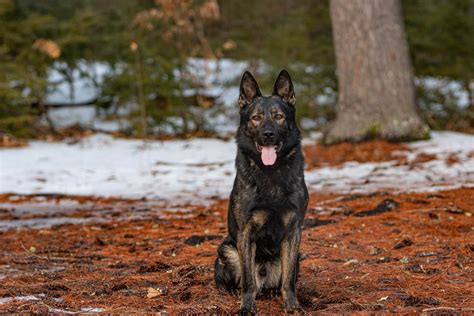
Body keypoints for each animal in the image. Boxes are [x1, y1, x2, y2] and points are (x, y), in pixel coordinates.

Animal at [214, 70, 308, 312]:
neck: (270, 172)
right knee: (241, 281)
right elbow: (248, 279)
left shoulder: (294, 231)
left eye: (278, 117)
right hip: (227, 250)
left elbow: (288, 278)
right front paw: (247, 306)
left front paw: (292, 305)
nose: (268, 134)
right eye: (256, 118)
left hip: (297, 256)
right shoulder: (246, 232)